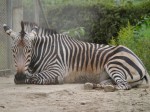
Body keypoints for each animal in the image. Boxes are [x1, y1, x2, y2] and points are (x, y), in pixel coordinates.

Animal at [2, 21, 149, 91]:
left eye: (29, 50)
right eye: (13, 50)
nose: (20, 75)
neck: (44, 51)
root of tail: (140, 61)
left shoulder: (56, 70)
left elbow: (33, 78)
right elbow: (23, 77)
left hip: (114, 64)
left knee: (123, 85)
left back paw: (104, 88)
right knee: (115, 83)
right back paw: (94, 85)